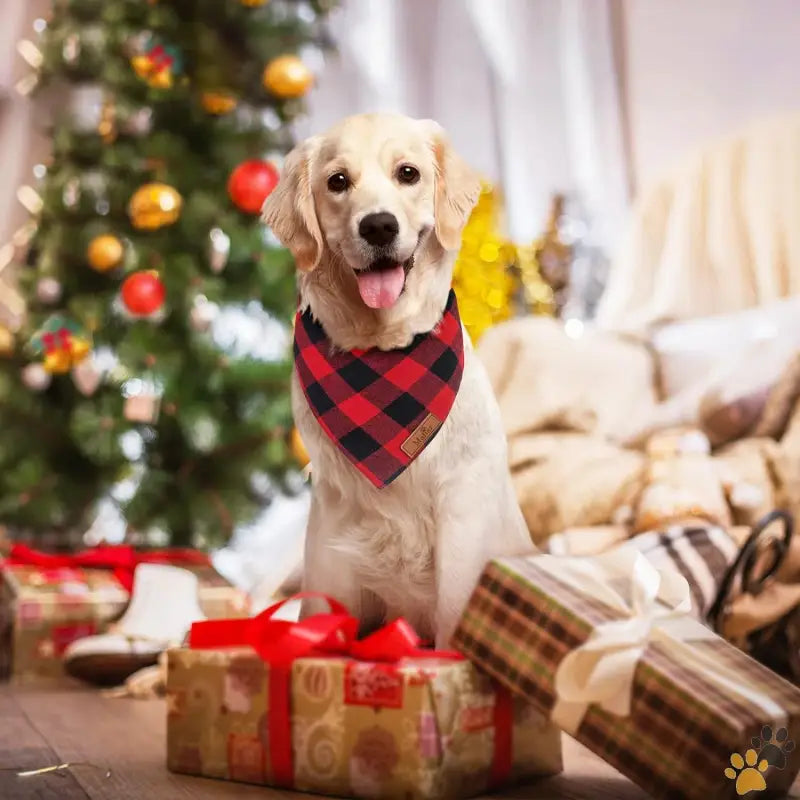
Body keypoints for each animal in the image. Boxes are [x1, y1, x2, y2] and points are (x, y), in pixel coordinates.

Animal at [262, 112, 532, 648]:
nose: (379, 225)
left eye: (408, 173)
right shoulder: (330, 542)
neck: (383, 356)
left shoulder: (462, 521)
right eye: (337, 181)